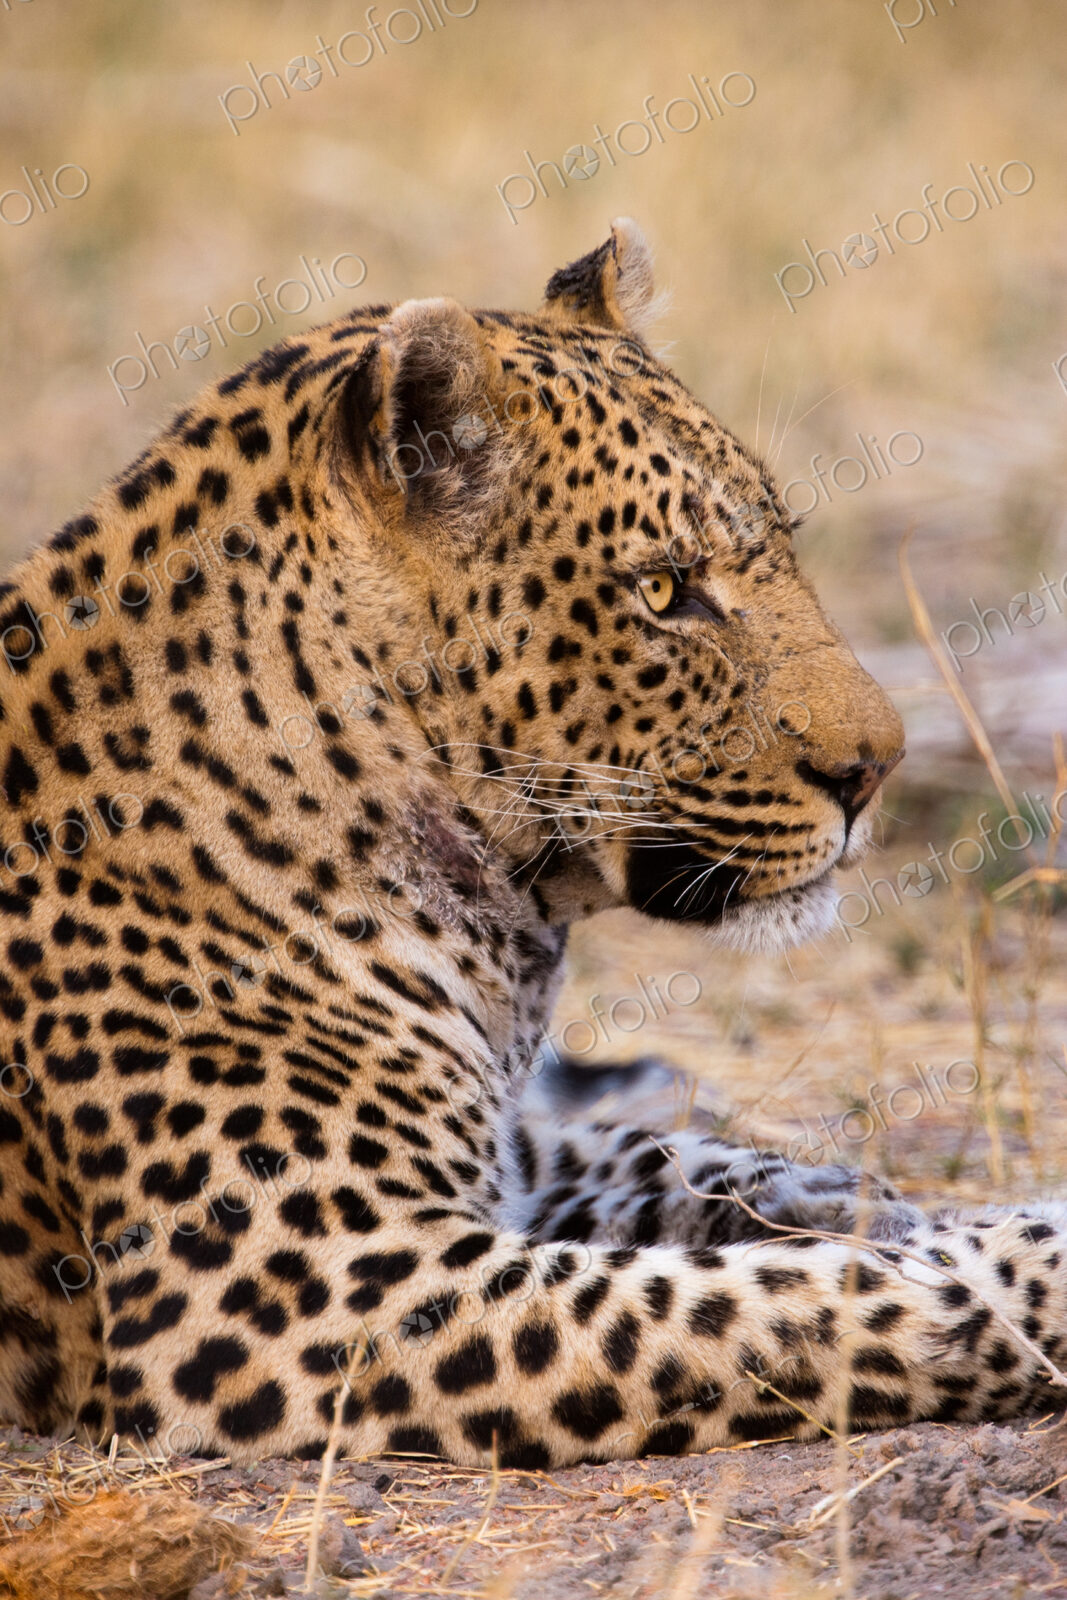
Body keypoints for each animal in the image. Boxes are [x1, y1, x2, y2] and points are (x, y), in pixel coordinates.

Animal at [1, 217, 1065, 1473]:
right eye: (663, 590)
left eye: (782, 547)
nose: (874, 770)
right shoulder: (304, 1295)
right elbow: (788, 1297)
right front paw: (1028, 1258)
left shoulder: (495, 1161)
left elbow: (663, 1158)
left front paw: (866, 1197)